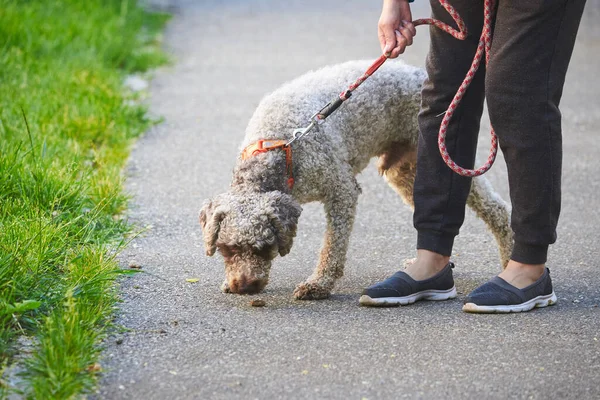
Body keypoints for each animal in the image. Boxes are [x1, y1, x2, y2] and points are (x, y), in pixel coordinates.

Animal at [200, 60, 510, 300]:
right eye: (227, 249)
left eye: (264, 248)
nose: (245, 287)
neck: (278, 146)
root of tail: (418, 73)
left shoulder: (340, 188)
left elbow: (332, 246)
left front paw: (319, 284)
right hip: (403, 169)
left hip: (444, 154)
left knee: (496, 209)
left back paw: (508, 259)